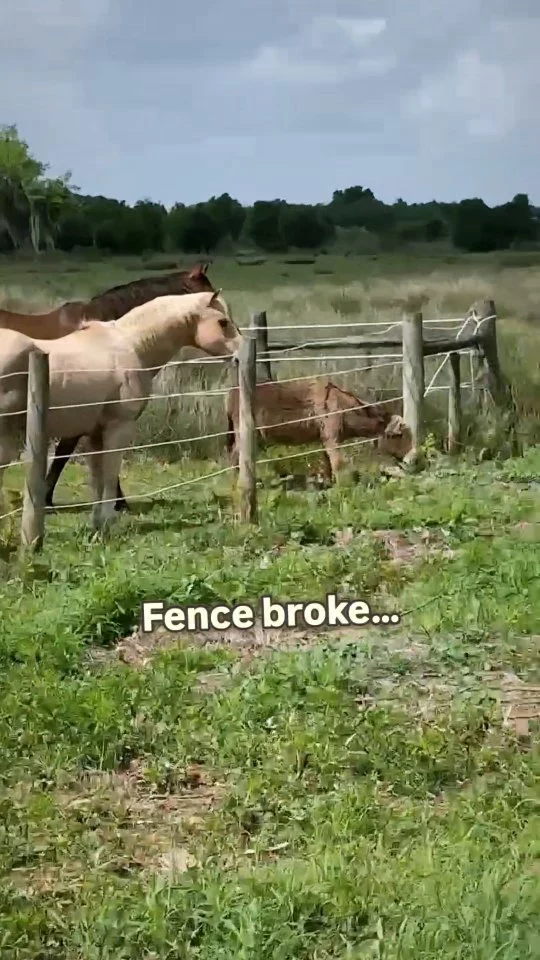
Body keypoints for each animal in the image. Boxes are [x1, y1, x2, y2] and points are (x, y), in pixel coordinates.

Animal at [0, 290, 242, 533]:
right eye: (223, 322)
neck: (131, 345)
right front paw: (109, 519)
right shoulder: (119, 427)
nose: (240, 357)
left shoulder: (94, 433)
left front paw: (99, 523)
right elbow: (110, 473)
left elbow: (98, 478)